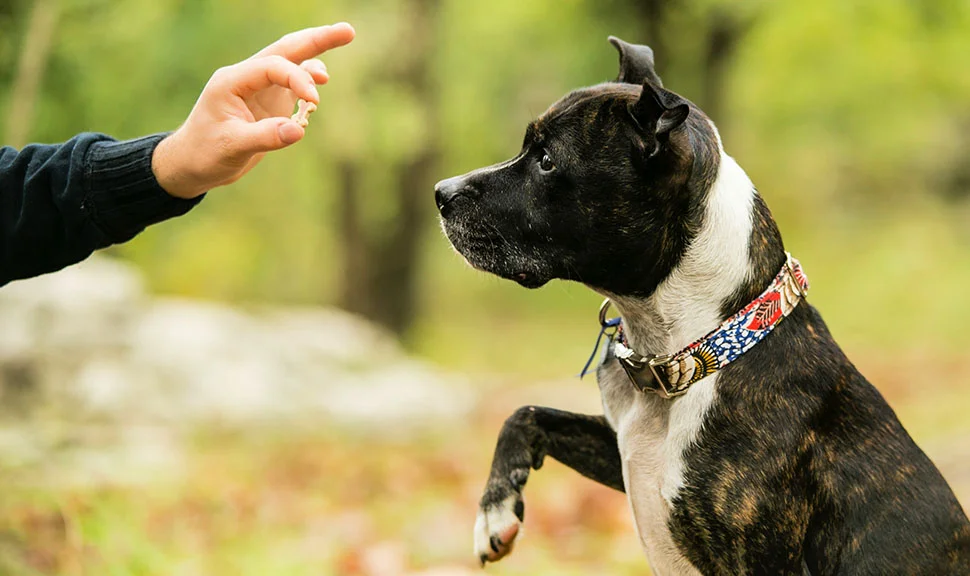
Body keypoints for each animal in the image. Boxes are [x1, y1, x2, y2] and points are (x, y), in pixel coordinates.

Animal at [432, 38, 968, 572]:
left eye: (546, 160)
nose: (441, 192)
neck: (692, 351)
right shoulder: (623, 451)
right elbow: (525, 413)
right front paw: (495, 511)